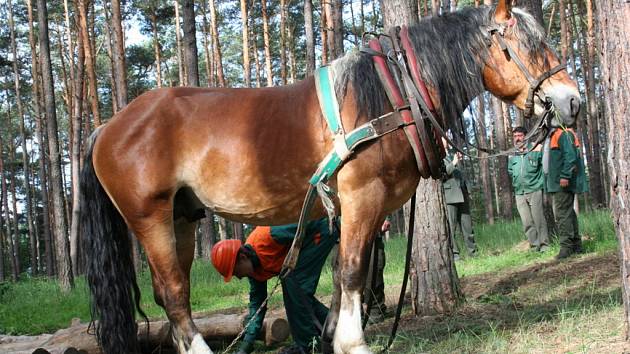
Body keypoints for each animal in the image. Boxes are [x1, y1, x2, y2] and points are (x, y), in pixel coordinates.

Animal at [80, 1, 584, 352]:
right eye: (531, 46)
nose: (573, 100)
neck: (389, 96)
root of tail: (108, 126)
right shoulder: (363, 194)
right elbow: (356, 268)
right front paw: (353, 341)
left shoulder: (364, 205)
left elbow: (344, 272)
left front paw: (332, 333)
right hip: (150, 217)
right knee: (173, 292)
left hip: (183, 217)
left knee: (173, 293)